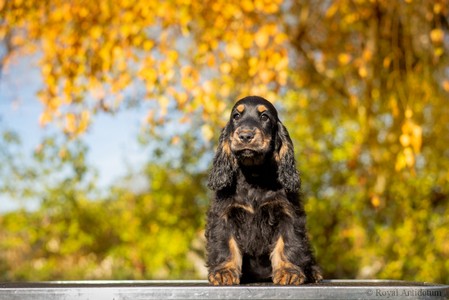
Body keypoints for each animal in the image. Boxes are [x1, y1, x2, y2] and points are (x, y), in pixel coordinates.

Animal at [205, 96, 320, 286]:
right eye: (236, 116)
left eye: (264, 117)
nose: (245, 135)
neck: (254, 175)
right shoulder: (223, 214)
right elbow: (225, 243)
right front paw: (224, 272)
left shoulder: (287, 212)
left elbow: (287, 242)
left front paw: (288, 272)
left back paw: (312, 272)